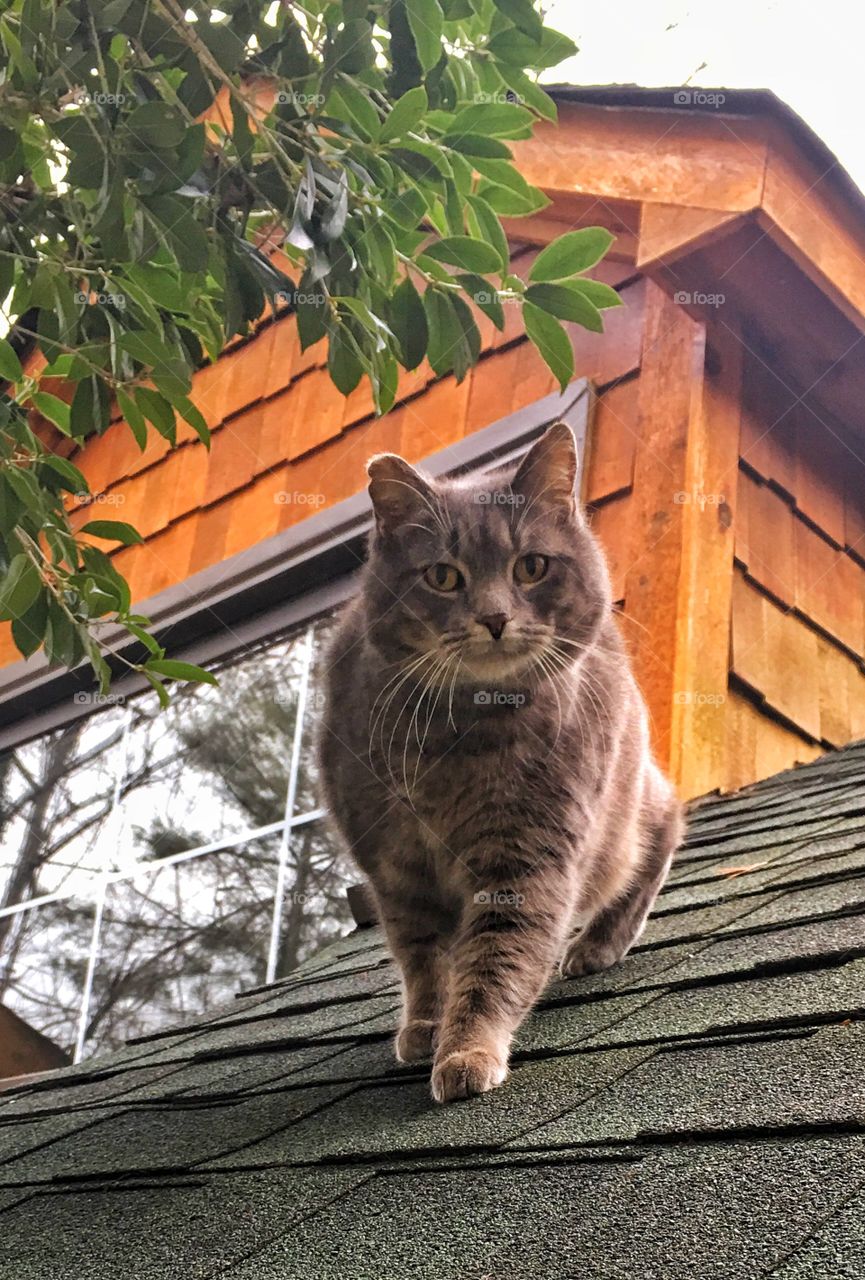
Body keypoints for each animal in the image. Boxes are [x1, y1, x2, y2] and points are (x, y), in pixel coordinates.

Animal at [317, 424, 680, 1105]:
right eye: (442, 576)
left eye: (531, 566)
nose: (492, 618)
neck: (456, 740)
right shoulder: (395, 869)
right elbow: (423, 958)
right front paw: (427, 1027)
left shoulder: (528, 857)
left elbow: (497, 958)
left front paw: (466, 1049)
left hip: (627, 807)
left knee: (664, 829)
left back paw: (598, 945)